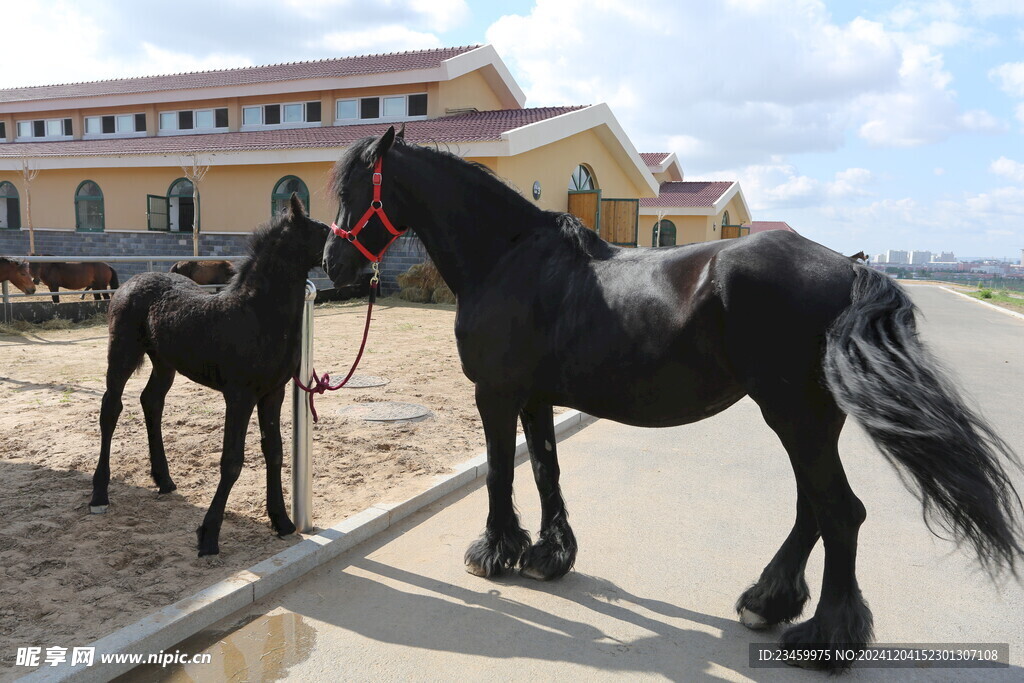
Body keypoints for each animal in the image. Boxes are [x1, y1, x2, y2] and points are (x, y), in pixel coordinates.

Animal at [321, 126, 1024, 667]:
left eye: (353, 192)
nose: (333, 265)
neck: (510, 259)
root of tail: (848, 266)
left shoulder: (495, 394)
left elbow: (500, 472)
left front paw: (494, 552)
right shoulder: (535, 396)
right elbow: (545, 470)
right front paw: (549, 555)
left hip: (793, 414)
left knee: (840, 513)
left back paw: (825, 638)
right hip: (809, 420)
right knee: (813, 509)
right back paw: (767, 602)